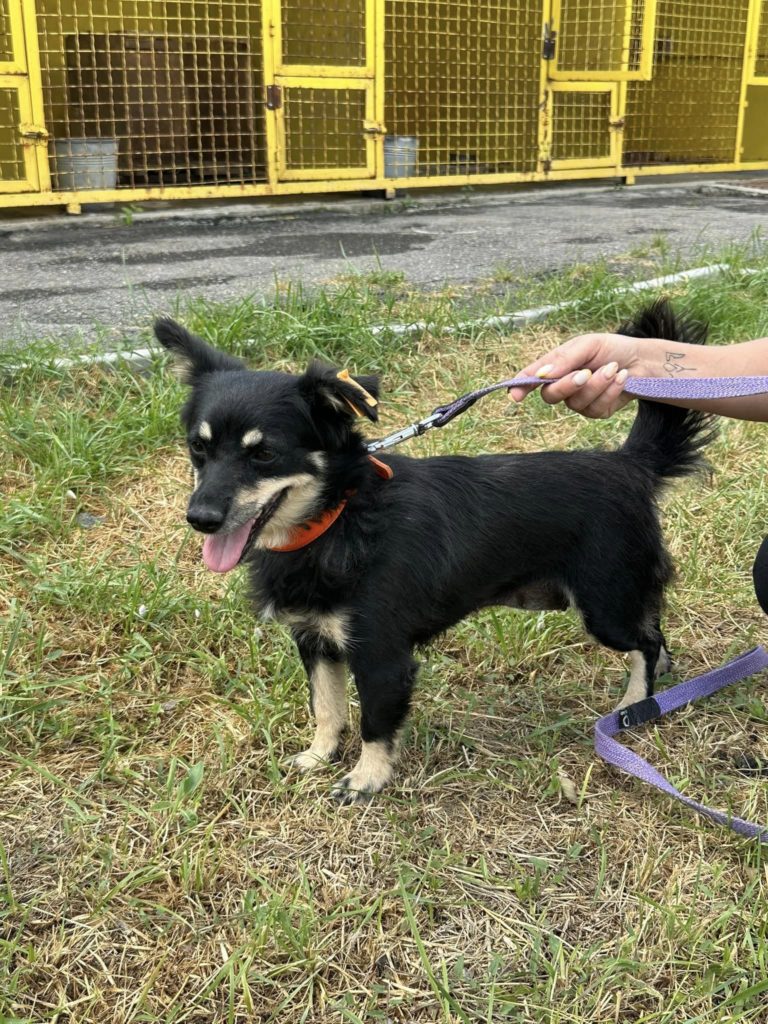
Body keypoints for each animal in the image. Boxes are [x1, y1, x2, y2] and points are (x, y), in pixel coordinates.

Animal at [156, 299, 716, 802]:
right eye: (198, 447)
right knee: (653, 628)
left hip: (603, 604)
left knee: (644, 640)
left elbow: (375, 722)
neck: (339, 519)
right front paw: (318, 755)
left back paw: (635, 705)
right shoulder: (315, 640)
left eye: (265, 454)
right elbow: (327, 707)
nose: (200, 518)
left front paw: (366, 779)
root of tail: (629, 464)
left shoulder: (381, 655)